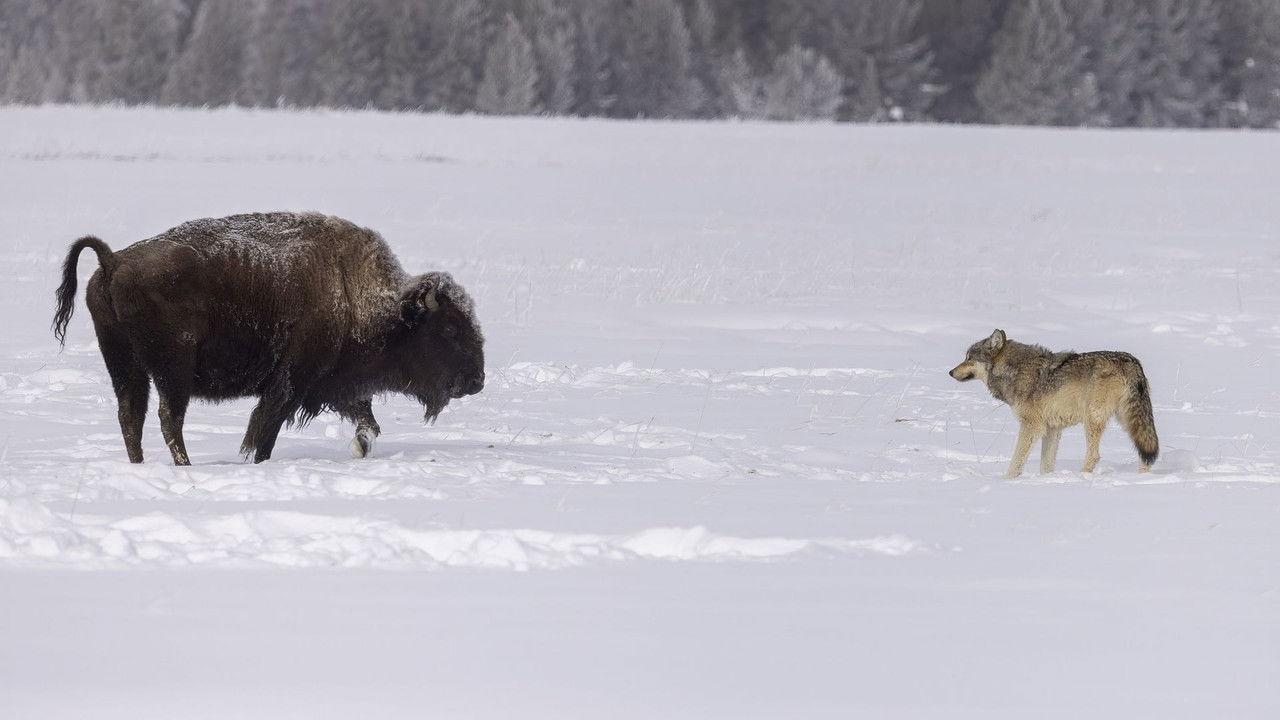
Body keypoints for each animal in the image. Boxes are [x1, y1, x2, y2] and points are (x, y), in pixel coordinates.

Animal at [949, 329, 1158, 477]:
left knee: (1094, 456)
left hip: (1093, 419)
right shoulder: (1052, 429)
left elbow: (1016, 461)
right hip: (1129, 421)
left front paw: (1006, 481)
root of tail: (1132, 361)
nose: (950, 372)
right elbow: (1046, 465)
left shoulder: (1032, 426)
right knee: (1145, 453)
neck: (1014, 371)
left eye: (969, 358)